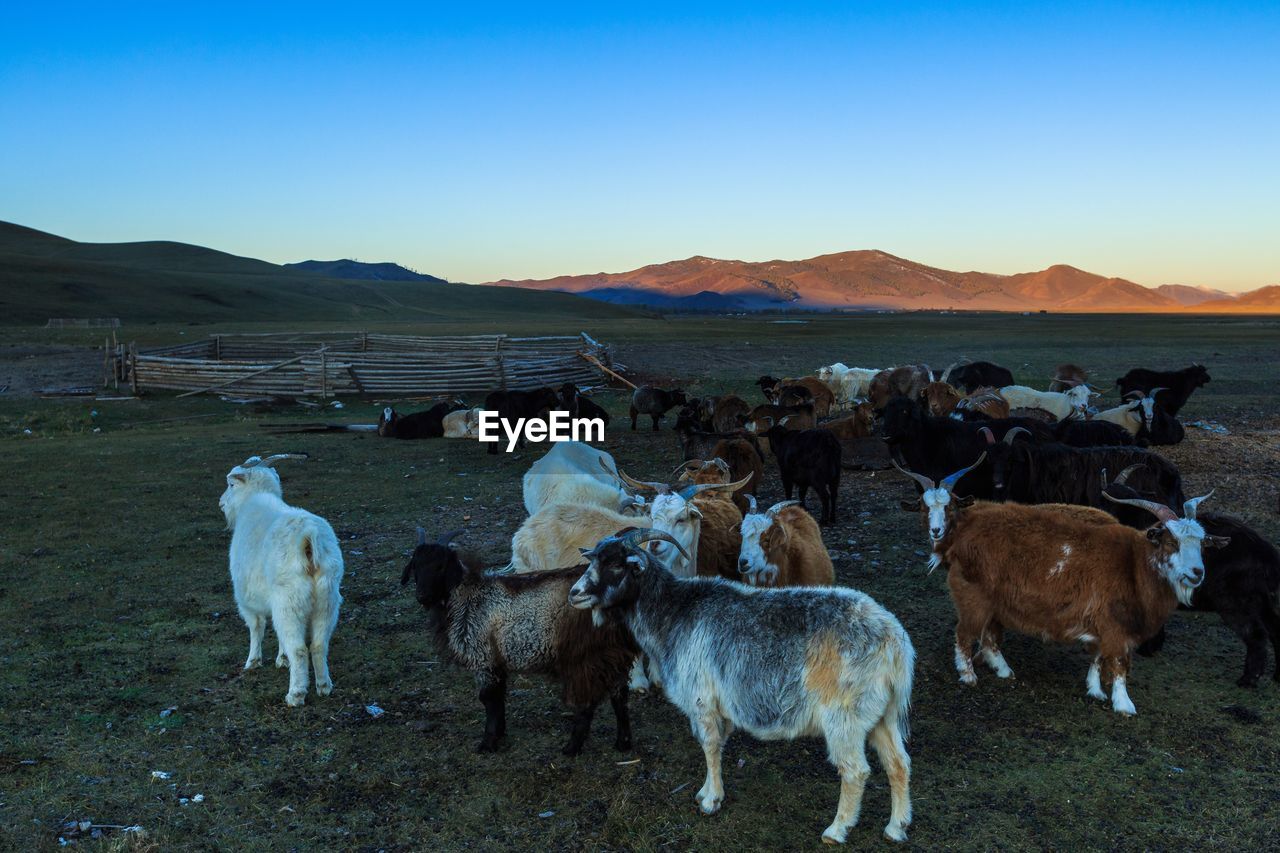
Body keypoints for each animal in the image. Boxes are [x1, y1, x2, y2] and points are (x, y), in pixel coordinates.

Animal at [217, 450, 343, 701]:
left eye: (231, 484)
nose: (221, 504)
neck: (254, 500)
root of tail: (309, 538)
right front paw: (282, 659)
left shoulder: (246, 600)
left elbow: (257, 627)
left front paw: (253, 662)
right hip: (327, 600)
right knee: (318, 645)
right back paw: (324, 686)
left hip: (290, 601)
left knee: (300, 649)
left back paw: (296, 694)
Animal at [399, 527, 645, 753]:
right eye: (415, 565)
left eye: (440, 566)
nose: (422, 596)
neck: (467, 597)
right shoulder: (496, 661)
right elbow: (499, 697)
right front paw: (499, 733)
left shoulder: (483, 657)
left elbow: (488, 699)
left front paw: (487, 743)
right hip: (613, 653)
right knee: (619, 695)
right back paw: (623, 743)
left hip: (586, 655)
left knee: (587, 701)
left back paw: (571, 748)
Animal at [573, 527, 921, 840]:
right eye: (595, 559)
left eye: (617, 564)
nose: (575, 593)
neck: (673, 614)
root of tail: (895, 642)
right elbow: (718, 744)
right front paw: (705, 791)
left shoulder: (702, 700)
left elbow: (709, 745)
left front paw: (711, 800)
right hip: (882, 715)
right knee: (898, 763)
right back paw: (896, 827)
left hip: (844, 717)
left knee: (855, 770)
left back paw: (837, 830)